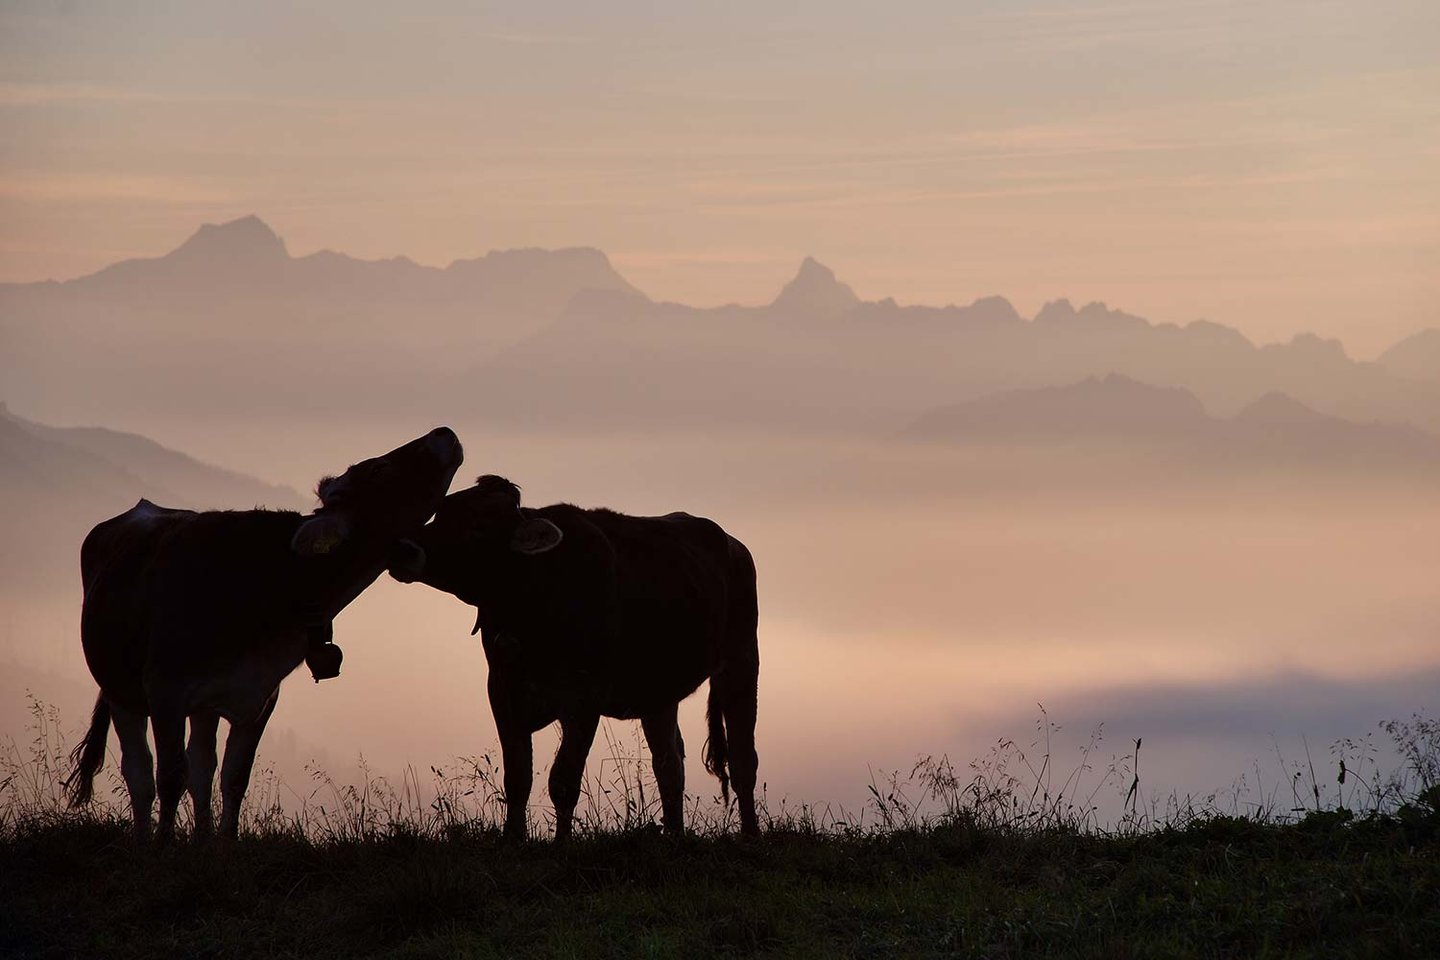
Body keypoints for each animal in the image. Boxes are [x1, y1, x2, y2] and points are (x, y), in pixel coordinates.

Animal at [64, 427, 464, 841]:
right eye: (379, 469)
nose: (444, 432)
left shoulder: (259, 696)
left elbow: (234, 778)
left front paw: (224, 844)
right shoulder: (165, 689)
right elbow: (170, 777)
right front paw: (163, 846)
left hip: (203, 706)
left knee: (201, 765)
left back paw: (202, 837)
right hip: (120, 689)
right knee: (139, 772)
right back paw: (145, 839)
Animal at [388, 475, 760, 840]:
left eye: (477, 526)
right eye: (440, 513)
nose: (402, 548)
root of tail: (733, 544)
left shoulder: (583, 697)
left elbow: (564, 780)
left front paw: (561, 844)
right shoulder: (503, 690)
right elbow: (517, 778)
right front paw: (512, 840)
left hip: (741, 660)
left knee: (743, 759)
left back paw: (750, 834)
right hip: (658, 691)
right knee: (669, 764)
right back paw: (674, 836)